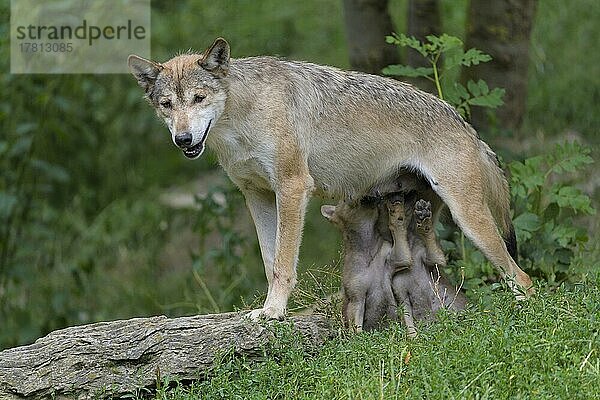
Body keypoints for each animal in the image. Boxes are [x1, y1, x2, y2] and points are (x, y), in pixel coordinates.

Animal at [129, 39, 532, 320]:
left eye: (199, 98)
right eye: (167, 105)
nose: (183, 139)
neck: (241, 120)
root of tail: (464, 122)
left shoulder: (292, 187)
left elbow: (283, 263)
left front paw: (274, 312)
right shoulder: (257, 196)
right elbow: (270, 260)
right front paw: (272, 310)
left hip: (470, 220)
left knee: (522, 278)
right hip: (428, 218)